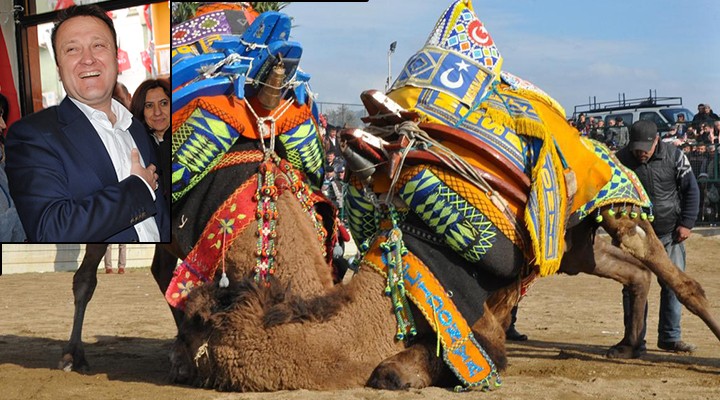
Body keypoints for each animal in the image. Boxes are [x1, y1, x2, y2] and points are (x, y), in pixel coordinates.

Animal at [165, 0, 720, 394]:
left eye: (193, 323)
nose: (178, 358)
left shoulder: (476, 316)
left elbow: (422, 366)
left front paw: (405, 371)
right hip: (572, 244)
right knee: (630, 271)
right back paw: (627, 347)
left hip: (609, 199)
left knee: (664, 264)